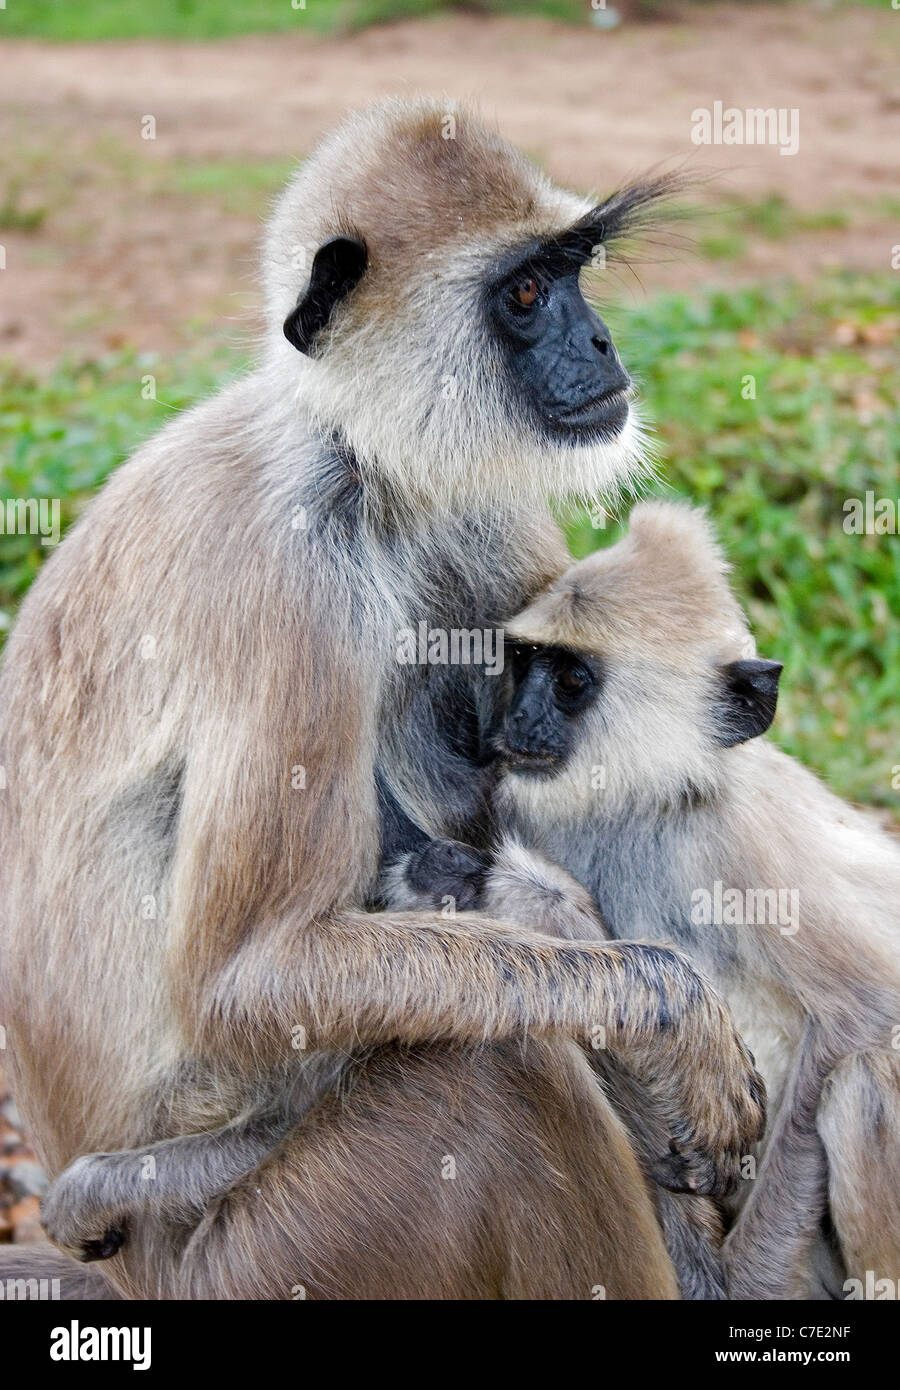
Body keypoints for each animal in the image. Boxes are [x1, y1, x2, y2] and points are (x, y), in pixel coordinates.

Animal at [0, 100, 762, 1301]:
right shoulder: (288, 561)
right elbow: (252, 979)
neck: (359, 461)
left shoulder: (480, 506)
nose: (600, 345)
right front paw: (676, 1017)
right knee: (496, 1069)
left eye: (573, 272)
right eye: (526, 295)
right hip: (276, 1254)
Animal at [397, 503, 900, 1301]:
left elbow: (866, 1013)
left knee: (866, 1080)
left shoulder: (740, 836)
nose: (517, 720)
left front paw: (745, 1280)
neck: (646, 807)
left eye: (571, 680)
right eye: (525, 664)